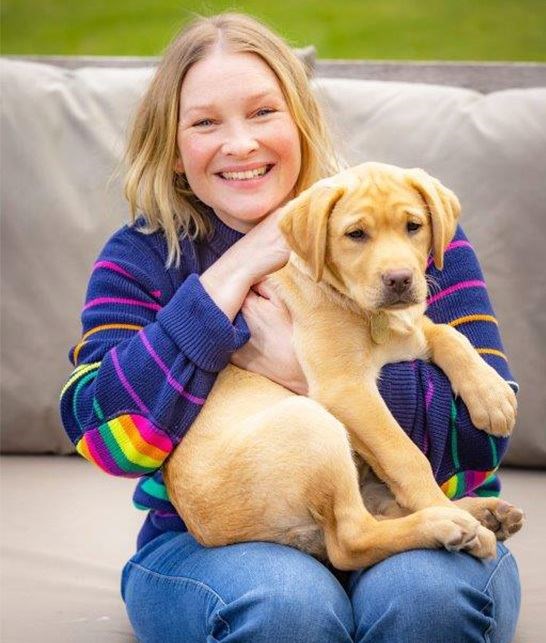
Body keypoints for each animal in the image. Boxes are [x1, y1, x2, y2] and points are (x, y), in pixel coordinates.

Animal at [163, 164, 524, 572]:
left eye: (413, 226)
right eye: (356, 234)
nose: (400, 279)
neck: (372, 315)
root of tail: (209, 531)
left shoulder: (411, 334)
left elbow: (450, 334)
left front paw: (492, 395)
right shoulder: (346, 388)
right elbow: (405, 454)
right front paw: (440, 503)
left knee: (379, 510)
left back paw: (484, 513)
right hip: (312, 427)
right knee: (352, 538)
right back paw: (449, 520)